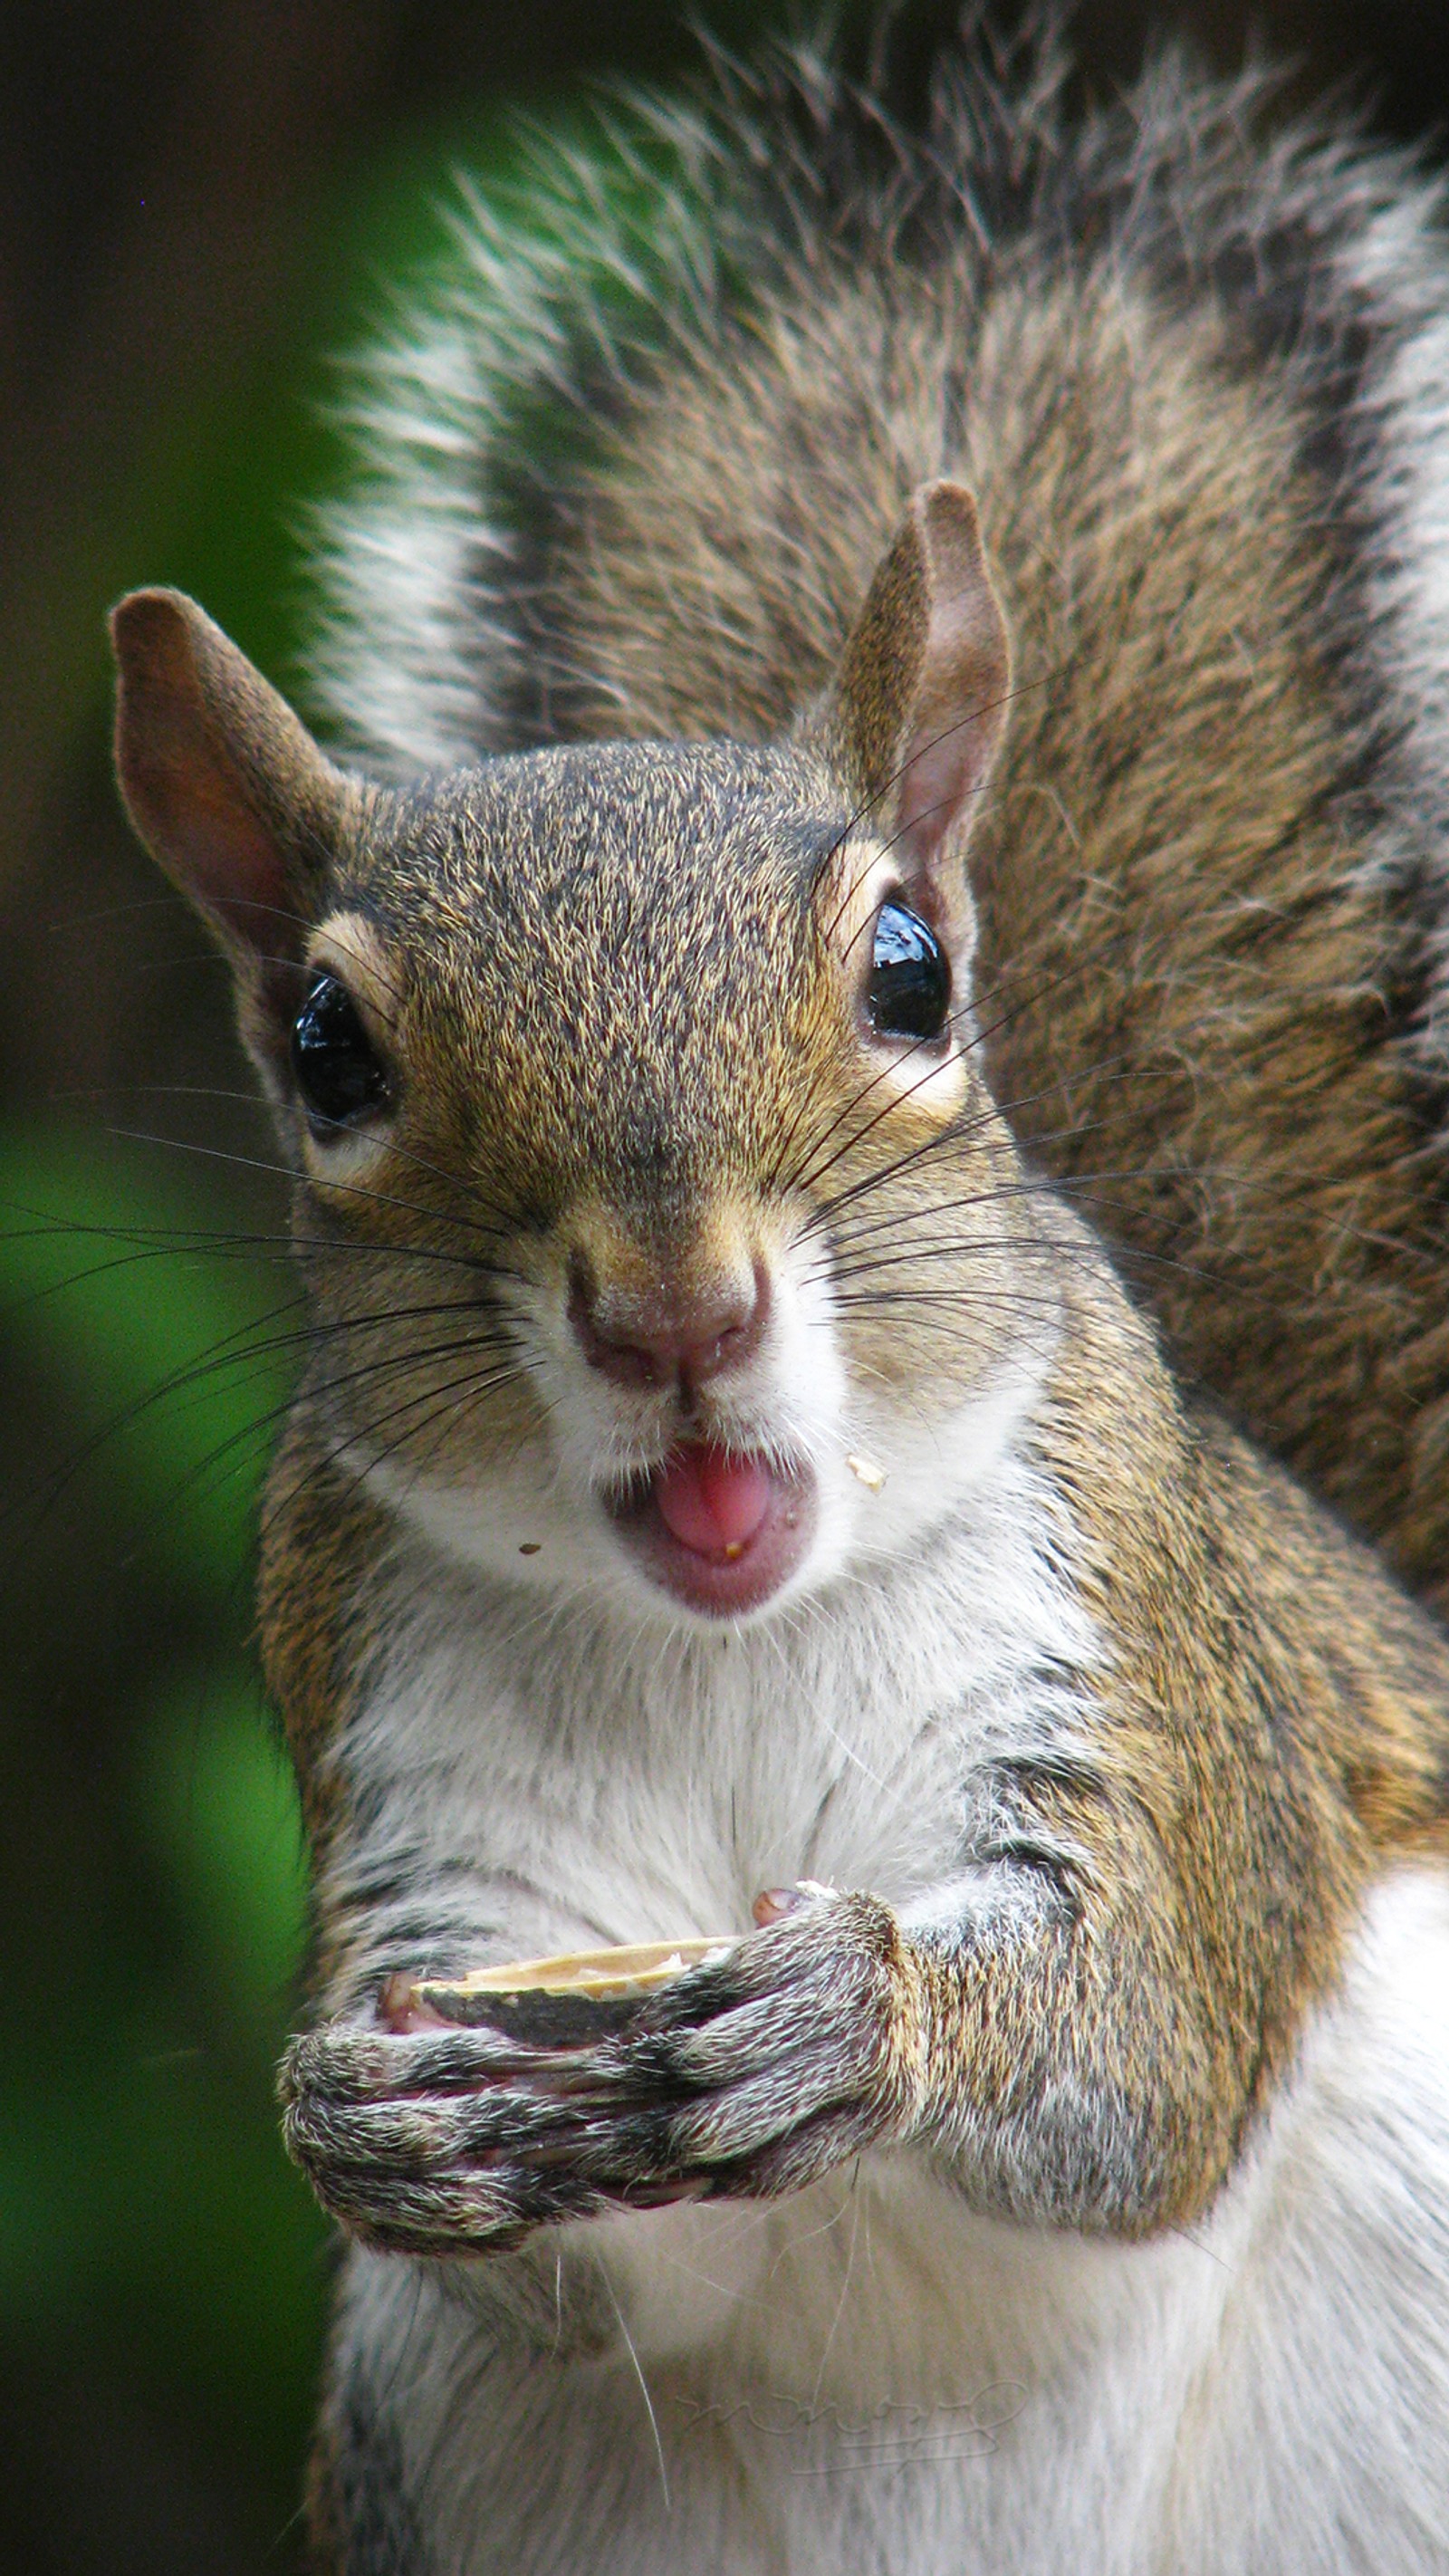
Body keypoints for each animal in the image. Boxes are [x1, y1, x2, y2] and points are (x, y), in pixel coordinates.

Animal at [113, 20, 1449, 2576]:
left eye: (908, 971)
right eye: (324, 1051)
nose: (670, 1306)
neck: (727, 1640)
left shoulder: (1145, 1654)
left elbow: (1144, 2039)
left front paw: (862, 2013)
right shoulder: (409, 1768)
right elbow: (601, 2255)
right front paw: (361, 2129)